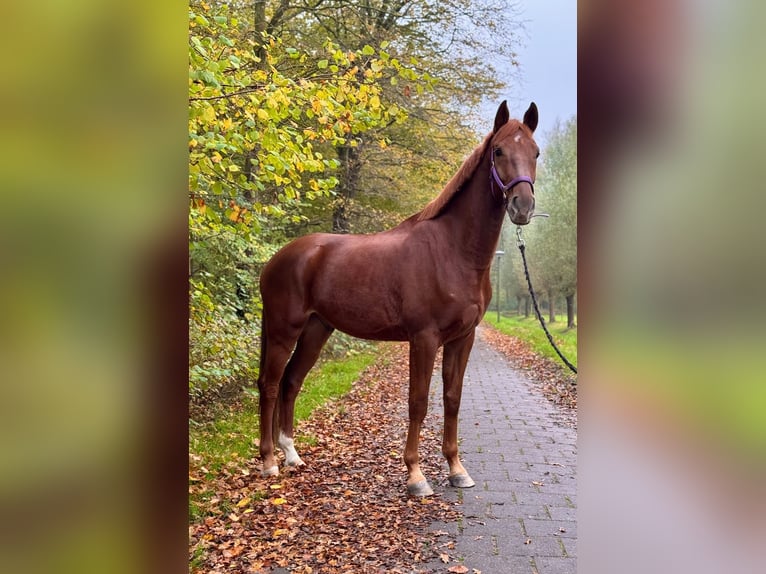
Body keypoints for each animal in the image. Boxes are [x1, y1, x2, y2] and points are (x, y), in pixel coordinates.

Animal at [258, 101, 540, 498]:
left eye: (535, 153)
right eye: (498, 151)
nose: (522, 206)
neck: (452, 250)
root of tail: (277, 259)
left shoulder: (462, 338)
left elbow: (452, 399)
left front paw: (456, 470)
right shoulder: (424, 338)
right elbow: (418, 402)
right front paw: (415, 476)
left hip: (316, 330)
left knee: (291, 382)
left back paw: (292, 455)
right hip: (284, 330)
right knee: (269, 385)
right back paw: (269, 462)